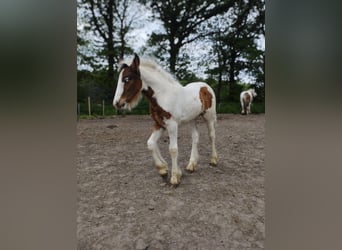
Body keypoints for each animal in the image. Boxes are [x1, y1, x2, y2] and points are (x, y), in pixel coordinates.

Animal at [113, 53, 218, 186]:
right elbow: (150, 144)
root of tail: (205, 86)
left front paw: (174, 177)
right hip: (192, 119)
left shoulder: (172, 125)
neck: (163, 95)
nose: (117, 103)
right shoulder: (159, 124)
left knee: (212, 135)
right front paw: (163, 169)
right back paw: (191, 165)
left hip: (209, 116)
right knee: (195, 137)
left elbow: (173, 149)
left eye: (127, 79)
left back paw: (213, 160)